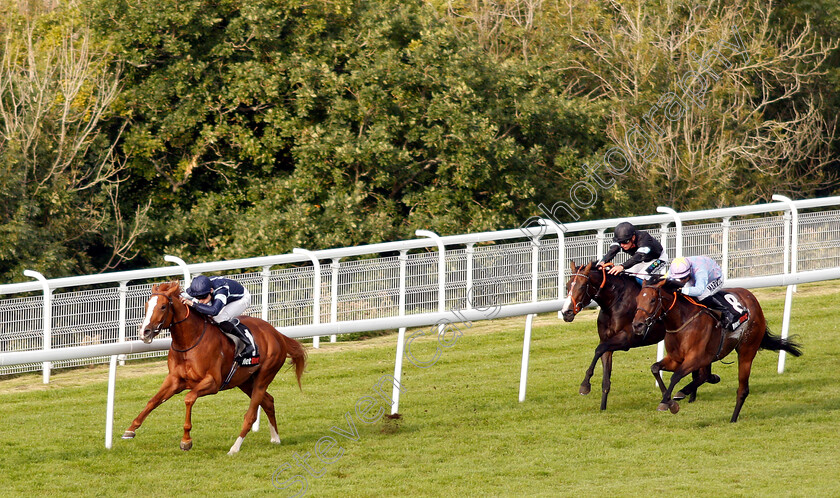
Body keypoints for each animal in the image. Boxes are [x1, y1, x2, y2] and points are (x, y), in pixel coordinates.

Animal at [123, 282, 306, 454]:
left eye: (163, 306)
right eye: (146, 305)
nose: (145, 332)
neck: (189, 341)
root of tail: (277, 334)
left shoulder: (213, 383)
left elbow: (189, 398)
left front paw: (186, 441)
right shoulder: (174, 380)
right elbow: (153, 401)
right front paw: (130, 429)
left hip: (263, 377)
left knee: (251, 414)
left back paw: (234, 448)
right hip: (244, 381)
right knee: (268, 401)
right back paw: (275, 438)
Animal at [560, 260, 720, 408]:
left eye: (582, 286)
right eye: (567, 286)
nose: (566, 312)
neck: (614, 301)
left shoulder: (627, 339)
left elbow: (598, 349)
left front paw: (584, 386)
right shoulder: (607, 342)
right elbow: (605, 378)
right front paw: (602, 408)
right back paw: (696, 392)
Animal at [632, 278, 800, 422]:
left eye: (653, 300)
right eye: (637, 299)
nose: (637, 325)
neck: (682, 321)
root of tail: (752, 298)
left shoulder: (695, 359)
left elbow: (676, 376)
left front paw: (668, 403)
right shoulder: (676, 359)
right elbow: (655, 368)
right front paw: (668, 399)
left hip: (747, 350)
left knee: (742, 389)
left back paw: (733, 419)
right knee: (705, 375)